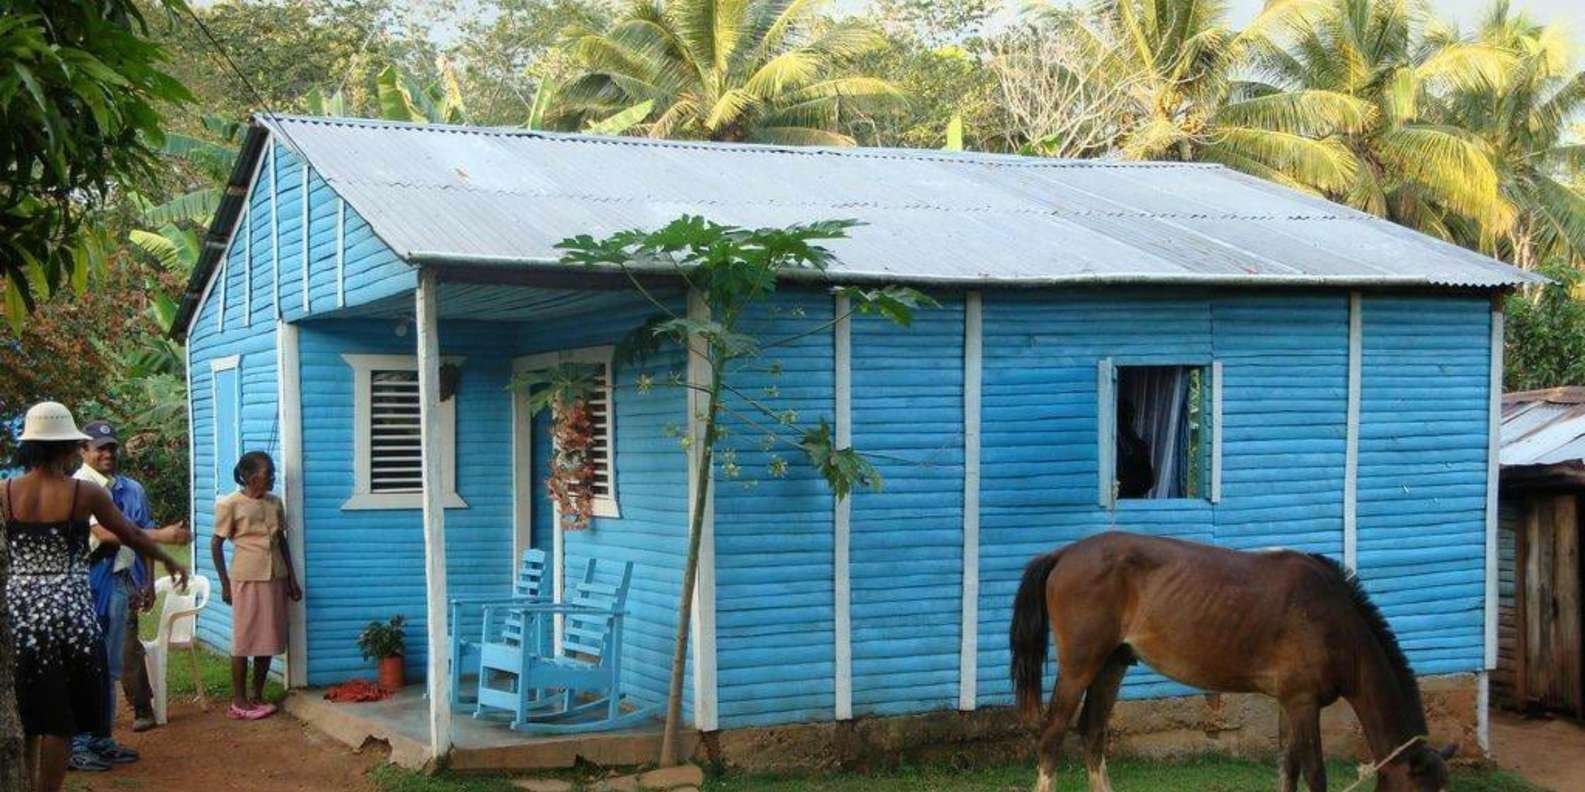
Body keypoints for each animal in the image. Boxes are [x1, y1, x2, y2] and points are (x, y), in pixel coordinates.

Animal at [1009, 532, 1456, 792]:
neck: (1333, 619)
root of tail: (1065, 553)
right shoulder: (1302, 703)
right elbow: (1314, 772)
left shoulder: (1289, 704)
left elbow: (1288, 768)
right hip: (1080, 665)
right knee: (1052, 737)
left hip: (1111, 665)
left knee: (1093, 734)